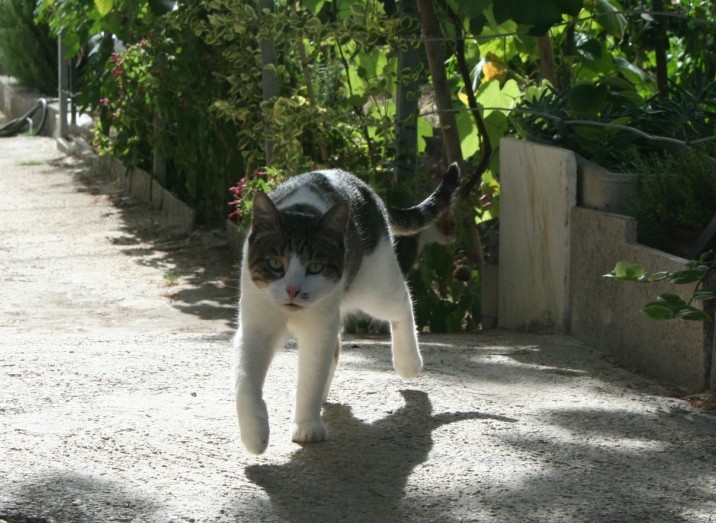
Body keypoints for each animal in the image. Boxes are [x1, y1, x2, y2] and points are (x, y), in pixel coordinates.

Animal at [234, 164, 458, 454]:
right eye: (274, 263)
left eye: (315, 267)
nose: (292, 290)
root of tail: (364, 186)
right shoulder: (256, 323)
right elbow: (246, 379)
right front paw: (254, 434)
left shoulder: (318, 329)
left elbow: (311, 377)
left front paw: (307, 425)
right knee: (339, 345)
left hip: (375, 285)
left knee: (402, 303)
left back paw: (408, 362)